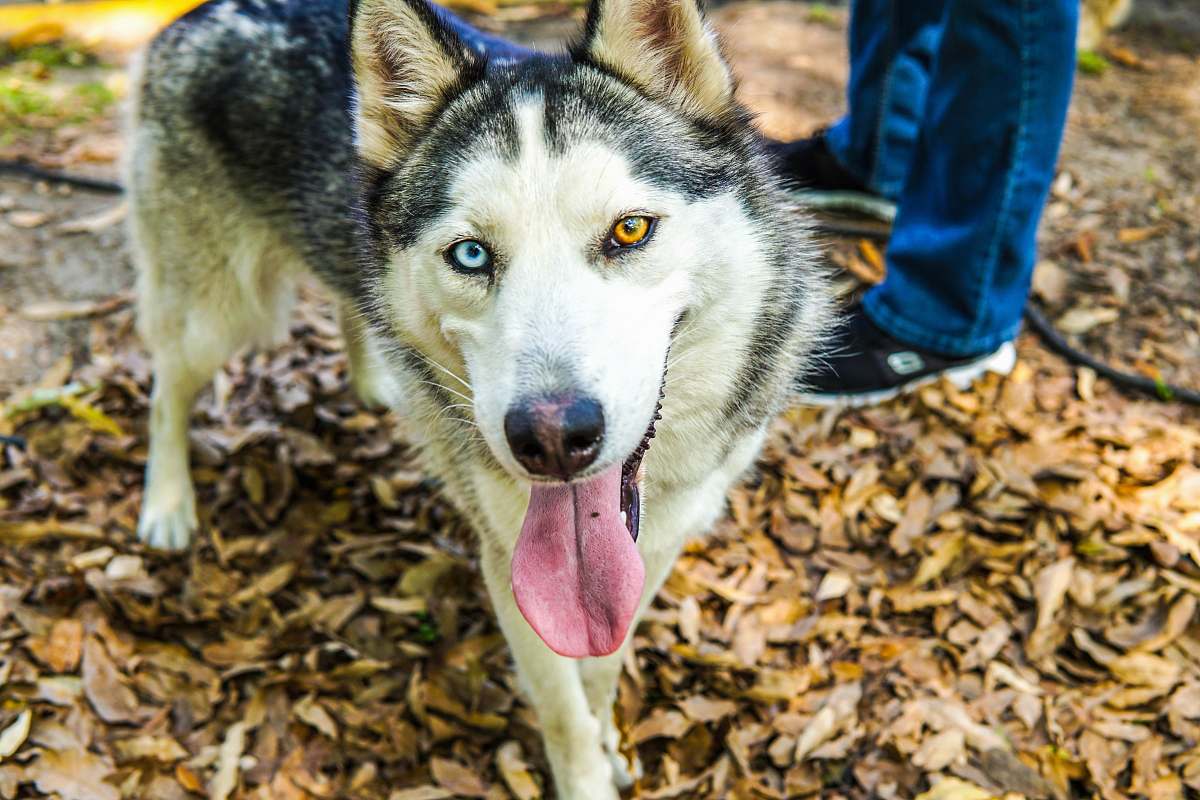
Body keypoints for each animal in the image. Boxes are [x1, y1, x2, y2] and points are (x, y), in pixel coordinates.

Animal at [126, 0, 830, 796]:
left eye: (629, 230)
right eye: (471, 254)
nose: (552, 437)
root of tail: (192, 17)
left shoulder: (658, 547)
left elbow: (604, 668)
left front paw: (611, 735)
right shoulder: (511, 571)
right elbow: (563, 715)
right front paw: (589, 770)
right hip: (219, 315)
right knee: (166, 387)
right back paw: (167, 503)